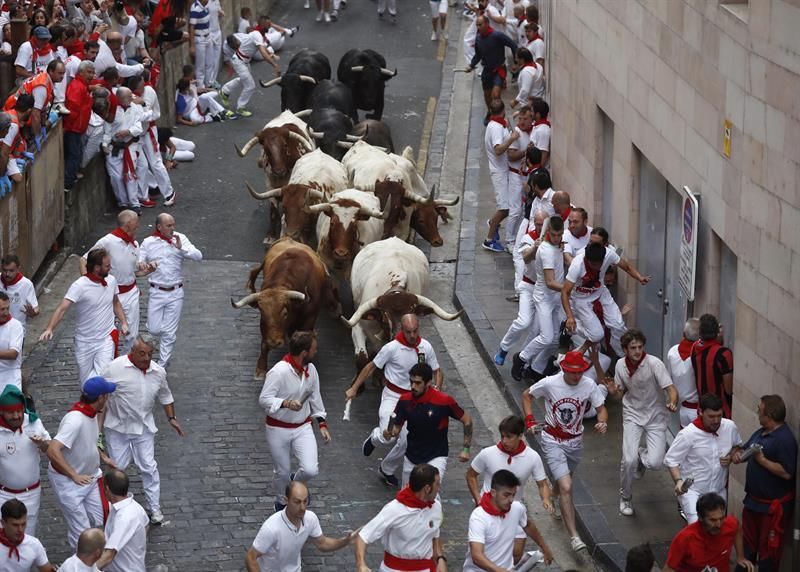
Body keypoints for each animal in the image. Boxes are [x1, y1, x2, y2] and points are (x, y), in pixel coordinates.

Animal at [230, 237, 336, 380]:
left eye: (285, 313)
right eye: (262, 313)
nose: (274, 342)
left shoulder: (310, 316)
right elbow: (264, 344)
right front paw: (260, 369)